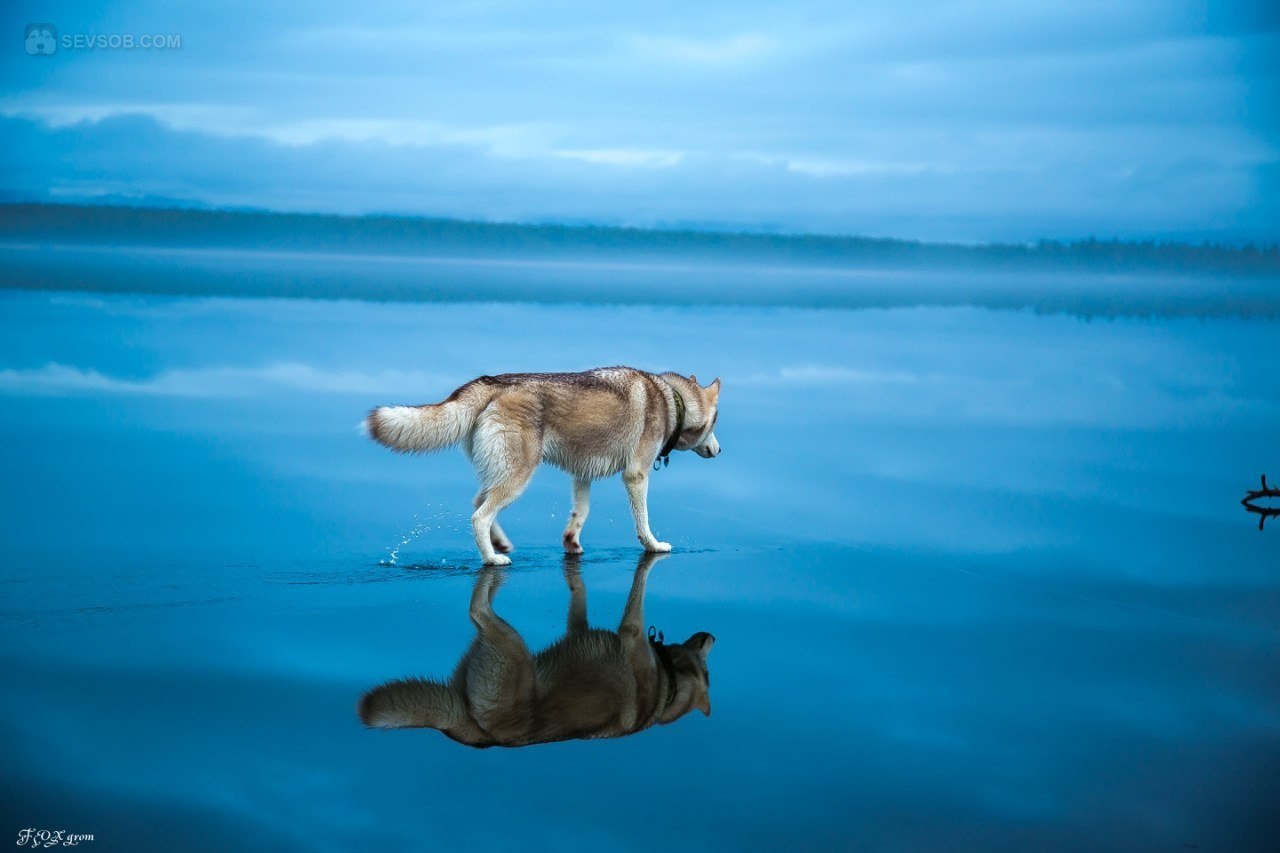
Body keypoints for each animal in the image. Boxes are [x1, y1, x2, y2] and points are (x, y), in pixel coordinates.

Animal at [360, 550, 716, 742]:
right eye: (709, 675)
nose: (713, 637)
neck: (667, 687)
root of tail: (480, 736)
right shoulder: (632, 633)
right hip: (511, 644)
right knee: (477, 607)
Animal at [366, 366, 721, 563]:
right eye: (716, 423)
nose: (719, 450)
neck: (672, 400)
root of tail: (491, 382)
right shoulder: (636, 475)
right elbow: (643, 522)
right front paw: (654, 545)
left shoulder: (582, 475)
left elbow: (580, 514)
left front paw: (572, 544)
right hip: (518, 478)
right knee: (479, 515)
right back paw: (492, 558)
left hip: (503, 473)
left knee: (478, 501)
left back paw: (500, 543)